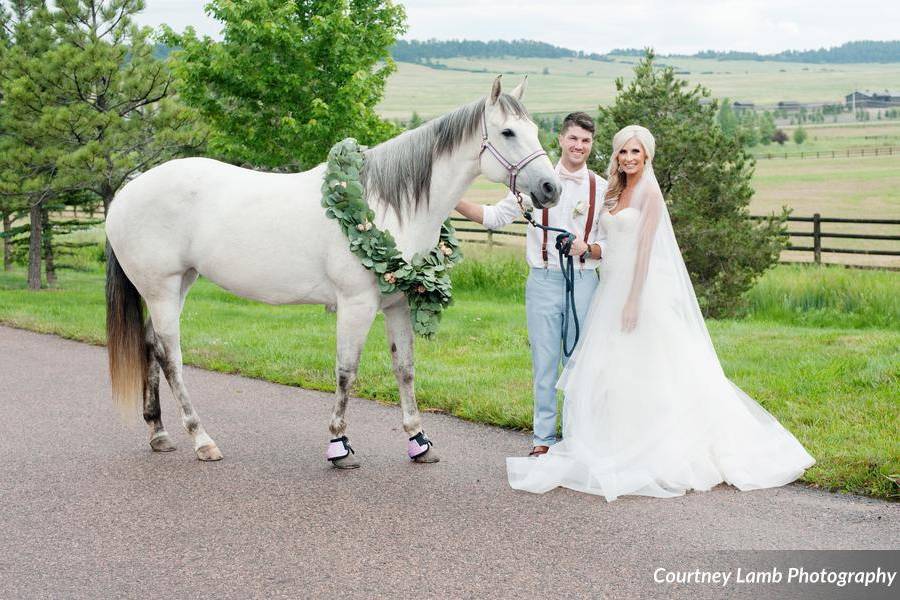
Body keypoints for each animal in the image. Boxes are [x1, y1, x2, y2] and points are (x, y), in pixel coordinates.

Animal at [103, 77, 556, 466]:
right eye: (508, 132)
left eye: (535, 128)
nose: (551, 188)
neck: (383, 203)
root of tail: (128, 191)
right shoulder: (357, 304)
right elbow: (346, 371)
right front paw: (339, 445)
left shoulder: (396, 305)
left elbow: (405, 370)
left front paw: (418, 440)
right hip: (162, 288)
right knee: (171, 357)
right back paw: (201, 439)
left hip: (179, 284)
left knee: (151, 347)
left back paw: (159, 433)